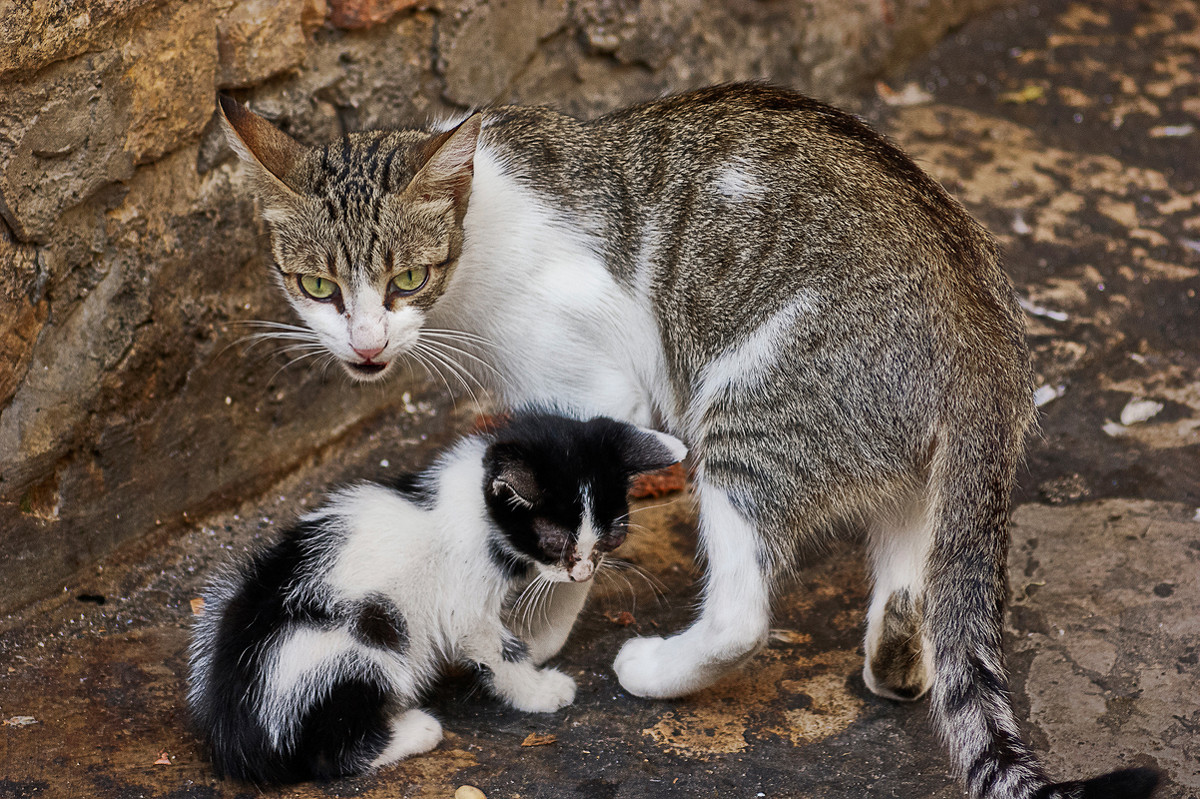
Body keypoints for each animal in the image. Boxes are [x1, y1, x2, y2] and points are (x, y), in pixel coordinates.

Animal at [192, 412, 691, 782]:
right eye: (552, 541)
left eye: (613, 536)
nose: (584, 568)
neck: (474, 509)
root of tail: (236, 734)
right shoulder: (463, 602)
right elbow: (497, 649)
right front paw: (539, 690)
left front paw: (545, 636)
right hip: (353, 646)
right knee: (327, 754)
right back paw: (418, 730)